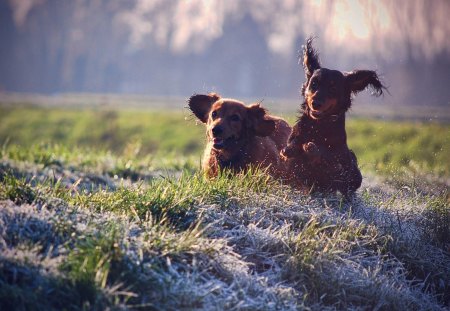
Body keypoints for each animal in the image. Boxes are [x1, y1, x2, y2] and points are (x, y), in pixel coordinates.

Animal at [282, 38, 384, 195]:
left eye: (333, 87)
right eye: (314, 83)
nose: (316, 103)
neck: (319, 126)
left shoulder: (340, 166)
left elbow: (327, 157)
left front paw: (311, 147)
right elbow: (294, 146)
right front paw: (291, 149)